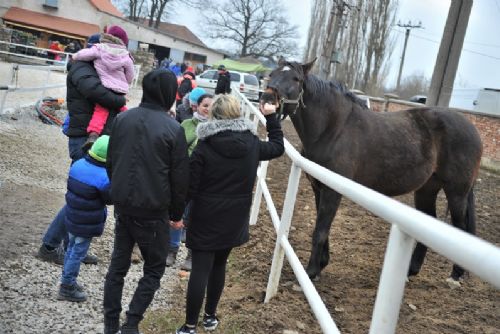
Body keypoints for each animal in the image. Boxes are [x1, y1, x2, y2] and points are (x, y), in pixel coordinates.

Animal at [268, 59, 482, 282]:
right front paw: (320, 265)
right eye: (272, 74)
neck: (333, 128)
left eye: (296, 79)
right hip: (426, 190)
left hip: (456, 192)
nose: (267, 96)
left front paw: (310, 272)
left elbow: (320, 231)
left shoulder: (332, 191)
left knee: (460, 228)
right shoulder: (319, 187)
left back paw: (456, 275)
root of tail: (472, 128)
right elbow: (322, 227)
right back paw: (411, 270)